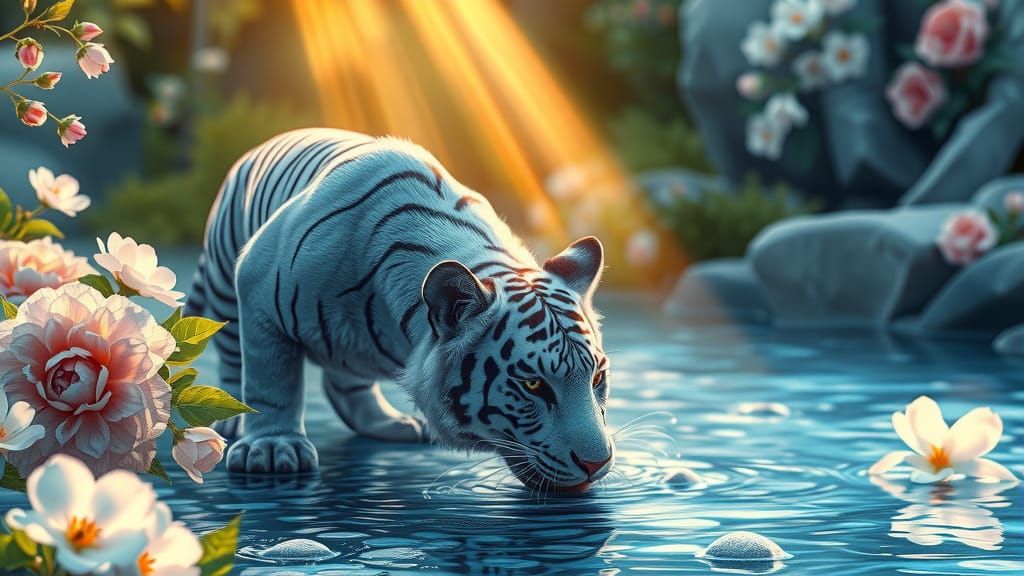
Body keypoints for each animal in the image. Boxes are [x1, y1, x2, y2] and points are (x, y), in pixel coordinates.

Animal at [187, 128, 615, 491]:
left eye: (597, 379)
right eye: (533, 385)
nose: (597, 463)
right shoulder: (258, 281)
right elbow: (271, 379)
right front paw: (275, 448)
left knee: (345, 381)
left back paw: (392, 423)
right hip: (225, 285)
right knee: (233, 360)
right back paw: (231, 421)